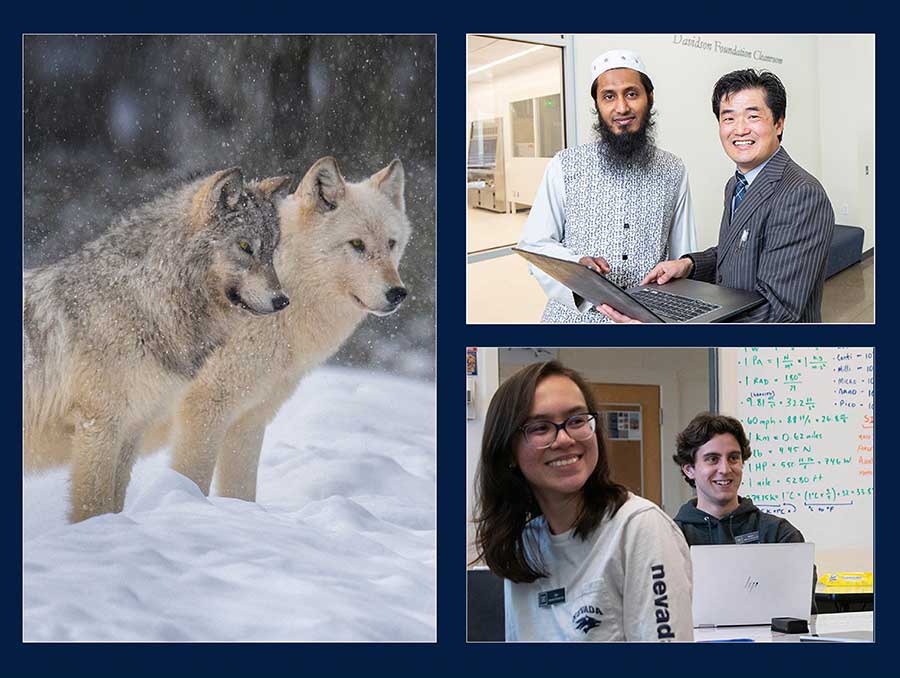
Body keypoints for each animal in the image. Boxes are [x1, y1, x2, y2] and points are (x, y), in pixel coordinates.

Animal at [23, 167, 292, 524]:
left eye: (272, 250)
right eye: (246, 246)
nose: (283, 301)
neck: (145, 300)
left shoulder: (132, 429)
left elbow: (114, 501)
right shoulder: (99, 425)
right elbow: (94, 505)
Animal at [147, 158, 412, 500]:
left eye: (391, 243)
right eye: (357, 244)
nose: (398, 293)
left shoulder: (249, 420)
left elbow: (241, 493)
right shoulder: (204, 413)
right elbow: (194, 481)